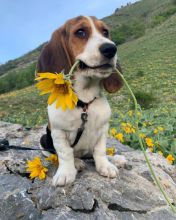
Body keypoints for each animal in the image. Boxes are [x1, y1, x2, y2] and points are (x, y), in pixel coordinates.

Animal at [37, 16, 126, 186]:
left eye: (105, 32)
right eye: (80, 32)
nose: (111, 49)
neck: (84, 102)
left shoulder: (103, 129)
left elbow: (100, 150)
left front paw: (105, 165)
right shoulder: (58, 132)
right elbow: (65, 153)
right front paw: (66, 173)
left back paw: (115, 159)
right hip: (44, 139)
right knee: (59, 154)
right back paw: (77, 163)